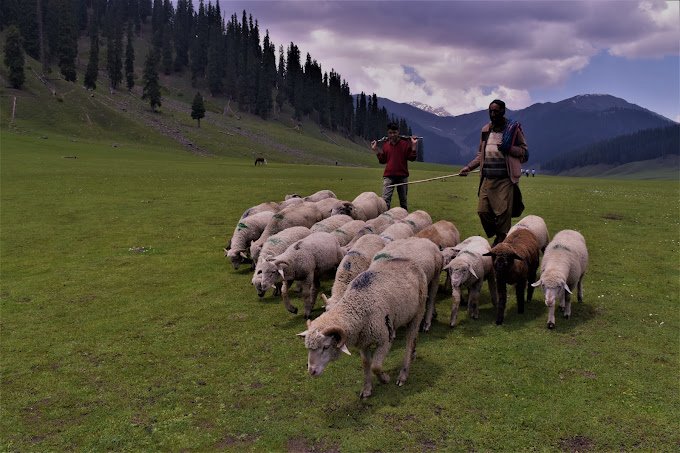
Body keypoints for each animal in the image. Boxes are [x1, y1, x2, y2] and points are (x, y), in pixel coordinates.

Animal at [296, 256, 428, 398]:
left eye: (326, 347)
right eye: (308, 348)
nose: (312, 371)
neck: (358, 304)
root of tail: (409, 260)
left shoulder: (384, 340)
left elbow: (375, 366)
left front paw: (384, 379)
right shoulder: (363, 342)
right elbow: (366, 364)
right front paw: (367, 389)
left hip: (418, 311)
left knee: (410, 341)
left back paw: (403, 374)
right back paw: (413, 355)